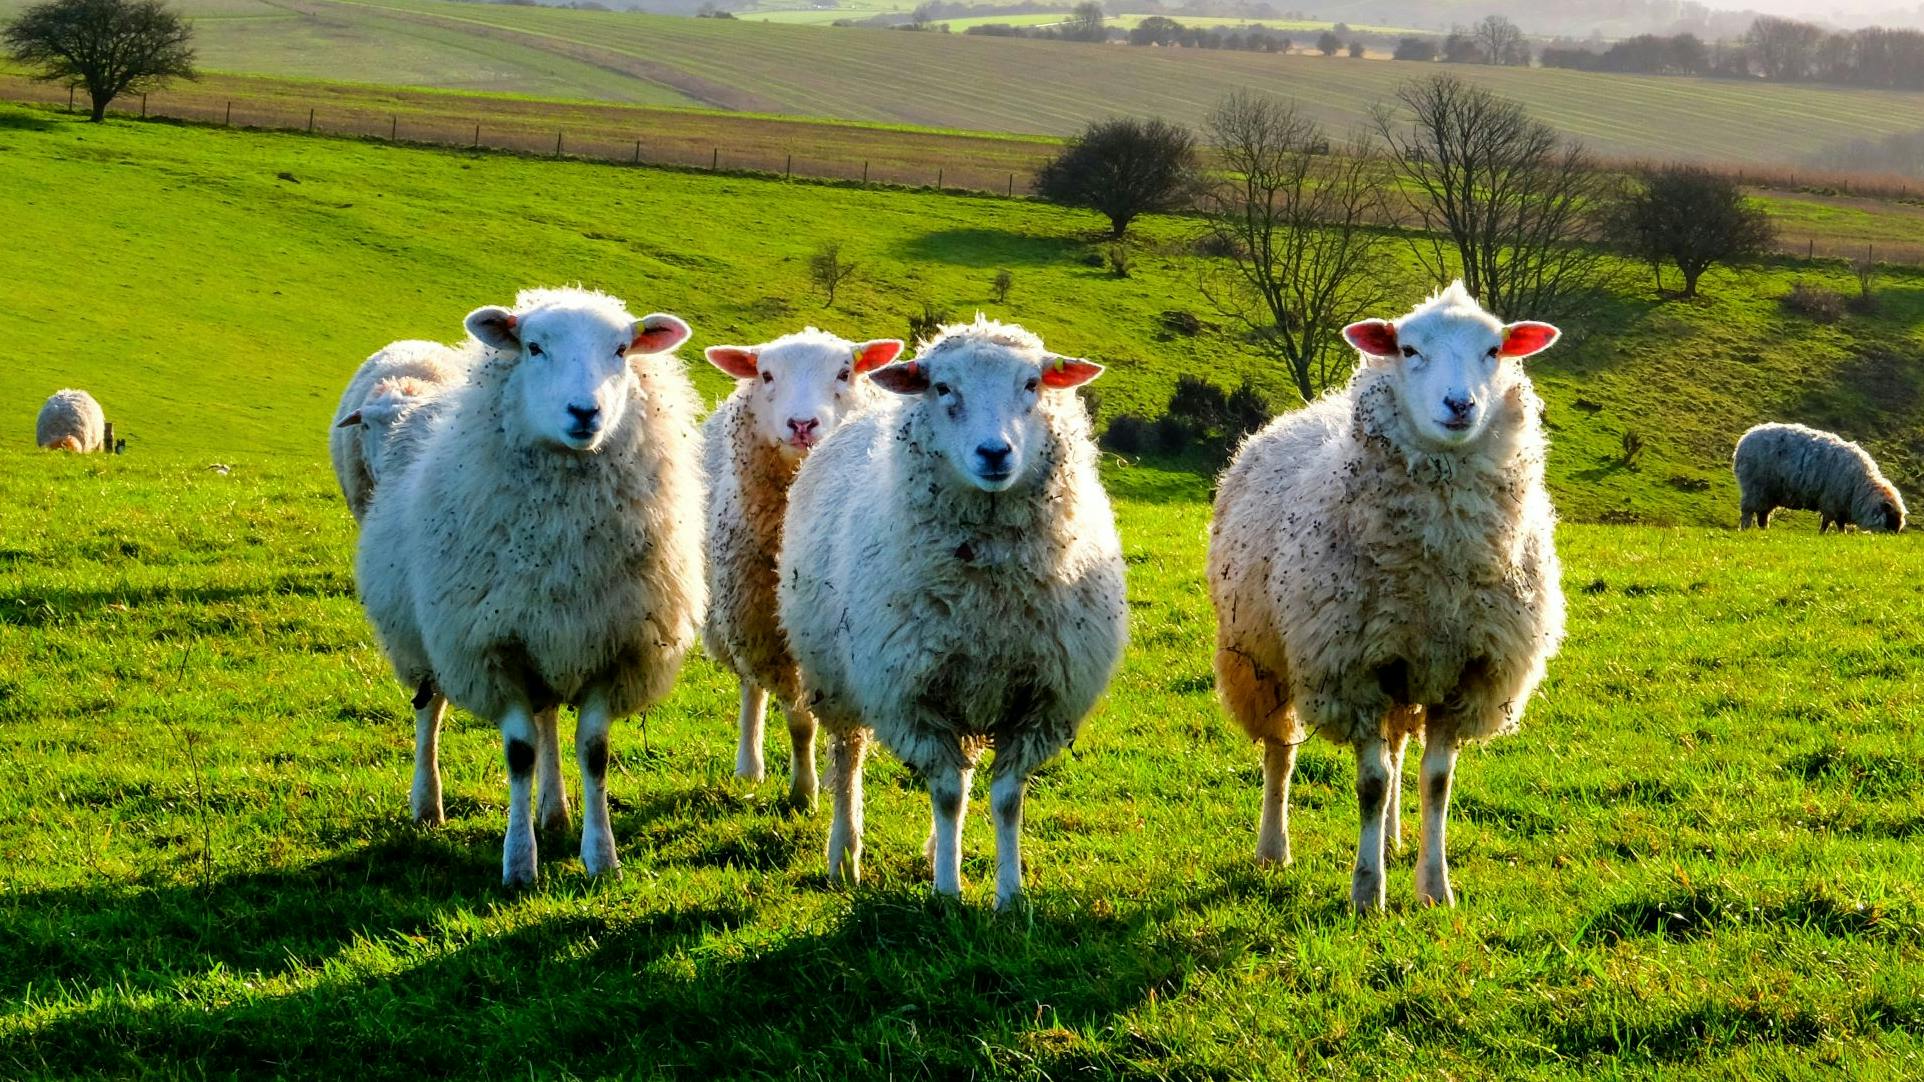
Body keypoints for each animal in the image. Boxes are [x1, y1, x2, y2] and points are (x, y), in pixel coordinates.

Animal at [356, 287, 703, 885]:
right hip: (425, 640)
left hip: (552, 637)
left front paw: (601, 858)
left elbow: (593, 751)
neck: (565, 548)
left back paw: (555, 811)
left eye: (621, 349)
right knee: (430, 713)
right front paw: (519, 864)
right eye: (534, 347)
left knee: (548, 722)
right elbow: (519, 753)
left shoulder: (611, 648)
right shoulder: (493, 649)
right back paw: (427, 805)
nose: (585, 412)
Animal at [701, 327, 904, 809]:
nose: (802, 425)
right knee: (750, 688)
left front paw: (825, 783)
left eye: (845, 372)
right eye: (766, 374)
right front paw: (803, 792)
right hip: (737, 617)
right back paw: (750, 765)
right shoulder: (774, 639)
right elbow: (799, 721)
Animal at [778, 316, 1126, 907]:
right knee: (848, 759)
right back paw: (844, 856)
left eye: (1032, 384)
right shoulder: (913, 696)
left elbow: (1005, 798)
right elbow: (945, 794)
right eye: (942, 388)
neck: (986, 599)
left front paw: (1009, 895)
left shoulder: (1039, 703)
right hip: (837, 678)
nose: (995, 453)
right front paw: (947, 892)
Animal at [1207, 281, 1565, 913]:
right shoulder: (1354, 671)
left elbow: (1436, 782)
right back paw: (1274, 848)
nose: (1460, 405)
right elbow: (1370, 784)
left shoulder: (1466, 673)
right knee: (1280, 753)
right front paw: (1366, 891)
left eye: (1494, 350)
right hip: (1262, 661)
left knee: (1398, 749)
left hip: (1405, 669)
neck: (1437, 570)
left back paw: (1397, 838)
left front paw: (1434, 887)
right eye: (1409, 349)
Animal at [1734, 422, 1905, 533]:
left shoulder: (1839, 506)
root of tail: (1743, 440)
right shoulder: (1831, 502)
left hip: (1769, 493)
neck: (1860, 487)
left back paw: (1764, 531)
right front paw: (1827, 534)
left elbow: (1837, 523)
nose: (1894, 534)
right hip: (1754, 488)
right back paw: (1745, 529)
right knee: (1748, 512)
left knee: (1763, 515)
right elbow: (1830, 522)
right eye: (1891, 518)